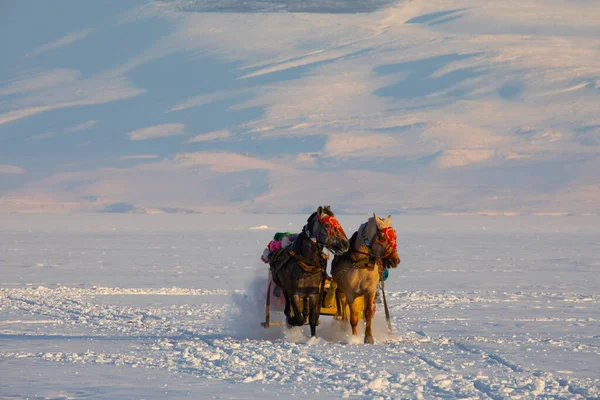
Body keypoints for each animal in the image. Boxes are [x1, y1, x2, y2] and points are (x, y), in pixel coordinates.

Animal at [270, 206, 350, 338]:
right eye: (328, 225)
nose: (346, 244)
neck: (307, 263)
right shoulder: (295, 294)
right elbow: (299, 318)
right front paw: (292, 321)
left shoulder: (313, 294)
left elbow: (312, 319)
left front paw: (313, 338)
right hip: (284, 288)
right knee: (288, 307)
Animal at [330, 214, 400, 342]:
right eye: (382, 237)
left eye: (395, 235)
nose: (395, 260)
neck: (362, 263)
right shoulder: (350, 293)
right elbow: (353, 318)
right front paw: (354, 337)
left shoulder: (370, 291)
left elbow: (367, 314)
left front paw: (369, 337)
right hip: (342, 291)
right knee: (343, 306)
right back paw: (343, 326)